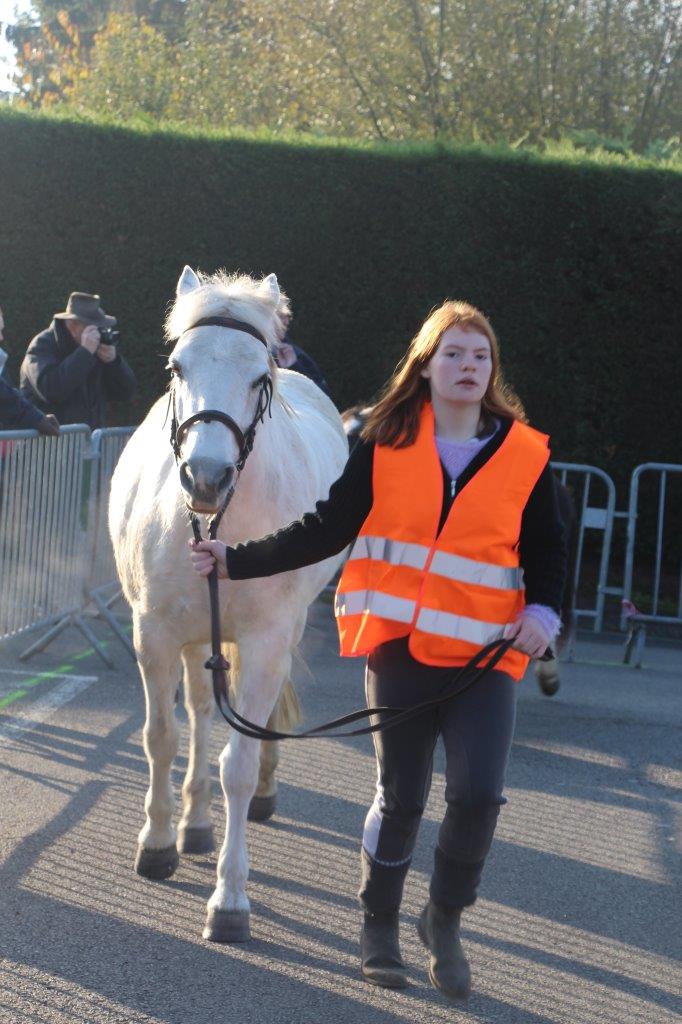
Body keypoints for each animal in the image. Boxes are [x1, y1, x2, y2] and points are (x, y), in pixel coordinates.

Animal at [110, 268, 350, 937]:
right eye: (177, 367)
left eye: (258, 377)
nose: (206, 477)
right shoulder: (154, 634)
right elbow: (162, 736)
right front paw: (157, 843)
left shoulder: (266, 644)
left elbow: (236, 765)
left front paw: (230, 899)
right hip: (197, 636)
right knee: (197, 709)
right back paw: (192, 825)